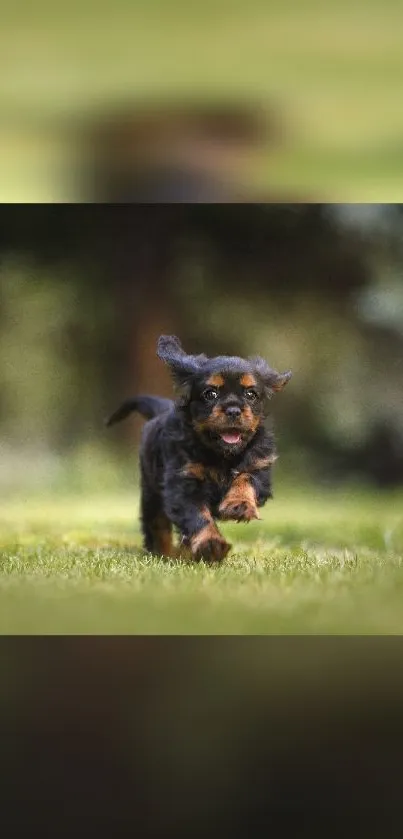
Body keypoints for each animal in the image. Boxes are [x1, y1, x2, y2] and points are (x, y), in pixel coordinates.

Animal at [105, 336, 292, 564]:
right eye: (210, 394)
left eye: (251, 394)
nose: (233, 410)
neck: (222, 455)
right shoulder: (183, 482)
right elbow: (198, 516)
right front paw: (210, 544)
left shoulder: (259, 466)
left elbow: (245, 478)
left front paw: (239, 504)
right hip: (152, 493)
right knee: (157, 526)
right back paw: (166, 554)